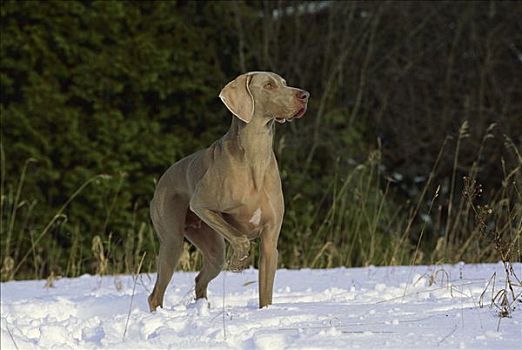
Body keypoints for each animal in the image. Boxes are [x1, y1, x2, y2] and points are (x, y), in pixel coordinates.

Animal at [147, 69, 308, 310]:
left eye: (284, 83)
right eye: (269, 85)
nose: (305, 95)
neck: (255, 156)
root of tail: (162, 179)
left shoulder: (270, 240)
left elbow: (266, 292)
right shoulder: (201, 204)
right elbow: (240, 238)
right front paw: (238, 262)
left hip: (212, 248)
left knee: (200, 278)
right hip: (173, 239)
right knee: (156, 294)